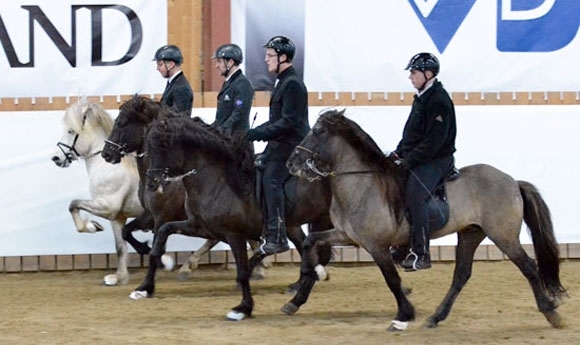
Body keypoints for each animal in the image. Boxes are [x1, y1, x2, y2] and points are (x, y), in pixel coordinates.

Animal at [51, 97, 144, 284]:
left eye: (71, 131)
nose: (56, 158)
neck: (108, 165)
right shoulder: (117, 217)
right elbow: (120, 246)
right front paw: (118, 277)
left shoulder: (107, 207)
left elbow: (73, 204)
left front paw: (92, 226)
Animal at [100, 94, 272, 280]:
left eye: (122, 122)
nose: (106, 153)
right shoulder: (150, 215)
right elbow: (126, 231)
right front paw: (145, 249)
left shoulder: (162, 216)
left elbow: (157, 241)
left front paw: (161, 261)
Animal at [286, 109, 568, 330]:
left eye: (318, 131)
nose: (291, 163)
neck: (361, 184)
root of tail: (512, 181)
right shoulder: (347, 235)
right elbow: (310, 241)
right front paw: (304, 283)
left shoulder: (377, 246)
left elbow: (392, 280)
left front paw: (404, 314)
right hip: (471, 233)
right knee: (461, 275)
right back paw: (436, 317)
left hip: (503, 235)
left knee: (528, 267)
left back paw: (551, 313)